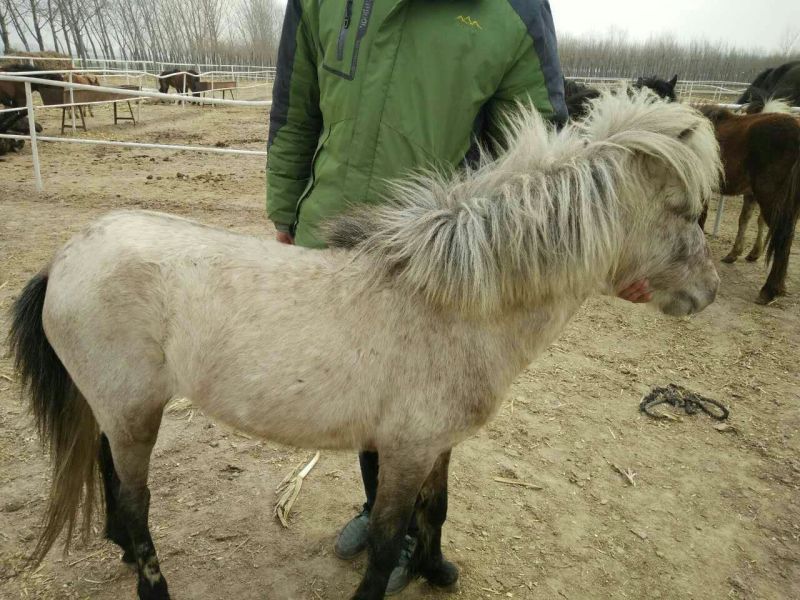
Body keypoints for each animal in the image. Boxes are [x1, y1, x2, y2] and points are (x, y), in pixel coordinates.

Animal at [9, 89, 721, 600]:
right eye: (686, 211)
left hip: (119, 408)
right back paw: (150, 583)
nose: (709, 292)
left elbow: (436, 511)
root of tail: (66, 258)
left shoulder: (434, 446)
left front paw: (436, 572)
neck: (449, 303)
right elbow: (384, 539)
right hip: (134, 413)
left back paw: (121, 550)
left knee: (110, 477)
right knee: (137, 503)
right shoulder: (404, 450)